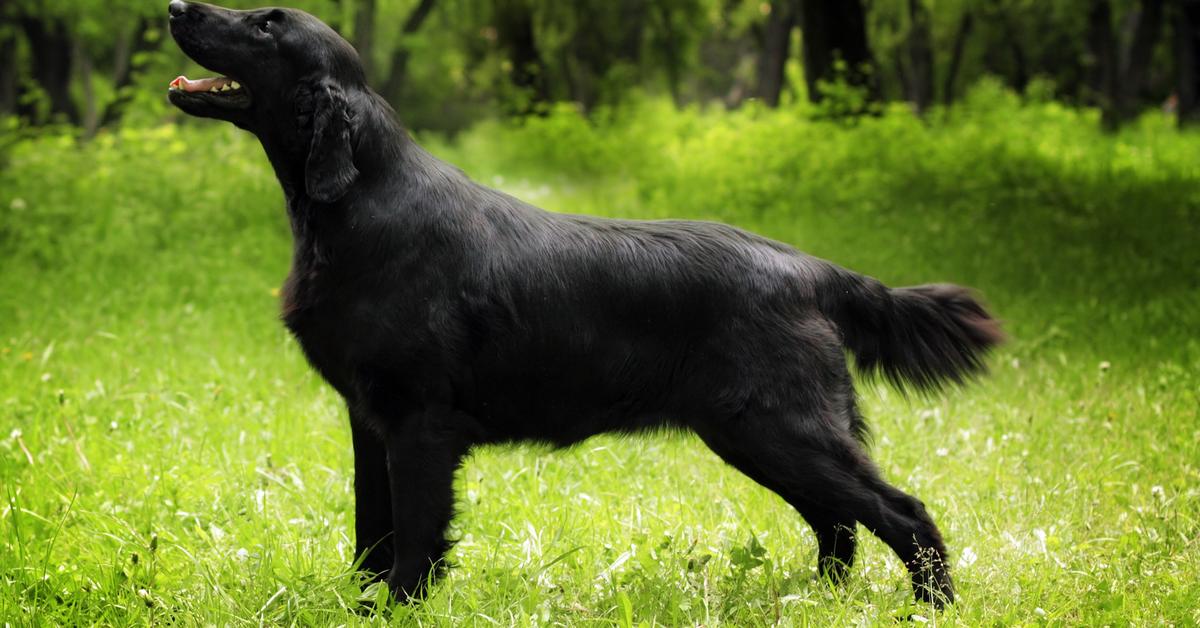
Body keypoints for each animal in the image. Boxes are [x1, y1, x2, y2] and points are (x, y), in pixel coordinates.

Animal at [164, 0, 998, 609]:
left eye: (267, 25)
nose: (175, 4)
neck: (359, 207)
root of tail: (812, 268)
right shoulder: (369, 420)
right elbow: (373, 533)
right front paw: (361, 606)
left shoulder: (420, 423)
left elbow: (414, 538)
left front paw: (398, 608)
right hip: (755, 434)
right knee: (839, 524)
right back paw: (816, 600)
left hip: (779, 426)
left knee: (901, 512)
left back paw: (933, 606)